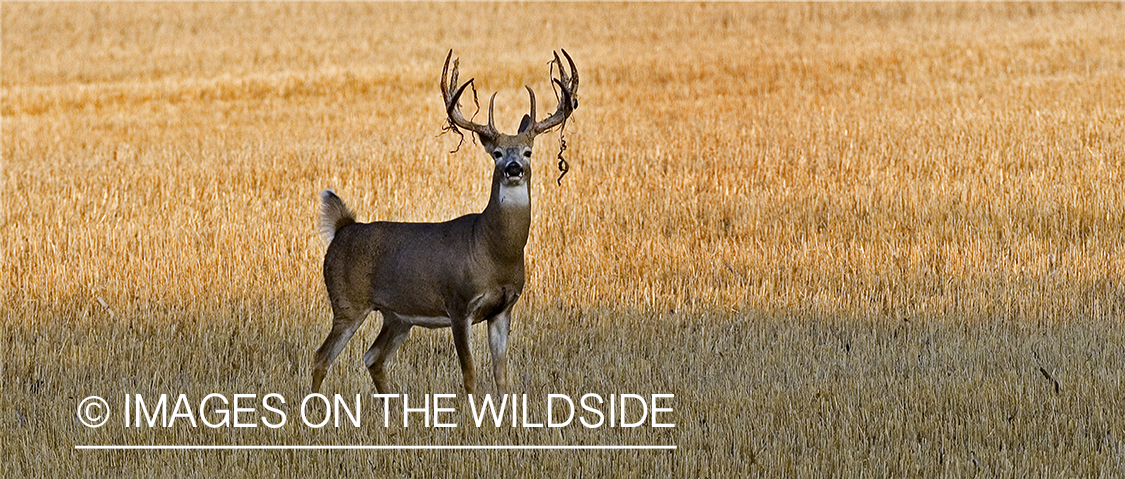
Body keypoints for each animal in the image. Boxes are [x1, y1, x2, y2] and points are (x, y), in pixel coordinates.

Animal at [311, 50, 579, 397]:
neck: (492, 250)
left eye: (528, 151)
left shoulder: (503, 309)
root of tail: (343, 228)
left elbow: (501, 375)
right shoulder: (458, 303)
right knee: (322, 356)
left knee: (373, 357)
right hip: (347, 301)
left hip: (397, 316)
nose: (514, 168)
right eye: (497, 153)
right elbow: (470, 375)